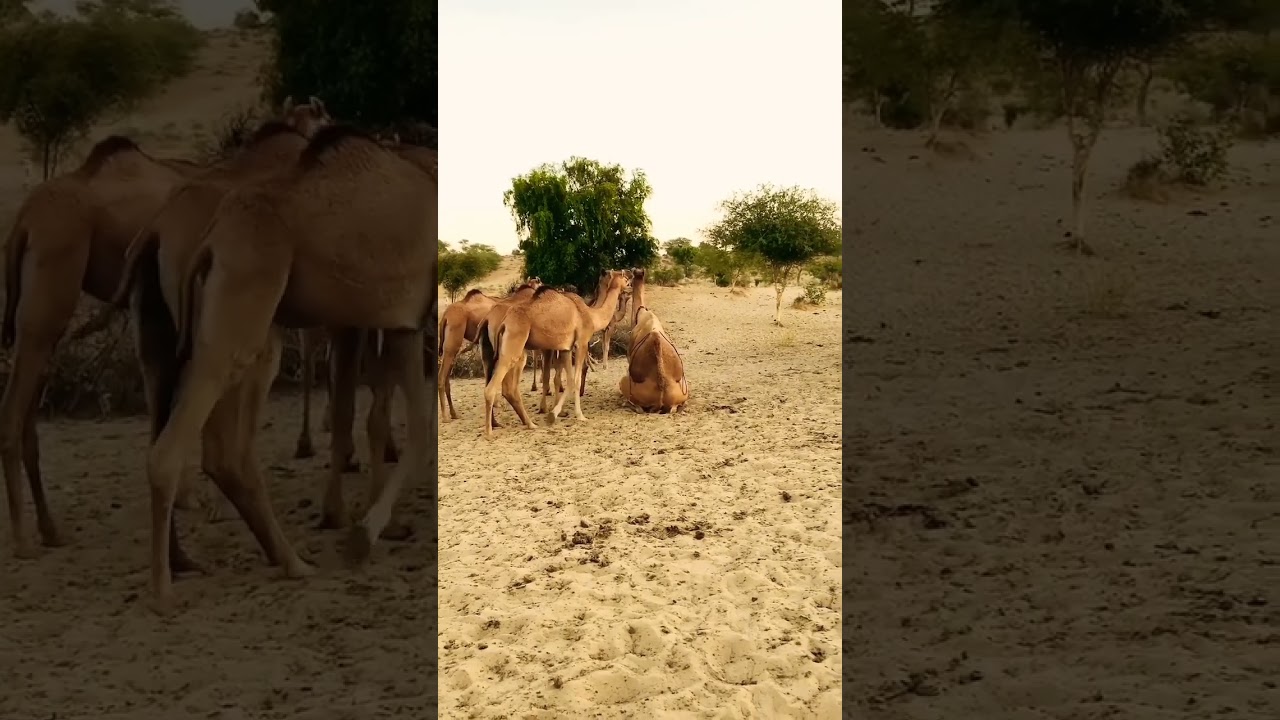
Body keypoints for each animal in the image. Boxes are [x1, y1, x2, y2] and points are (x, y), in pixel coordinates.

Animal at [117, 125, 435, 612]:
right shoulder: (405, 318)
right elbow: (410, 426)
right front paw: (363, 533)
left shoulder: (397, 323)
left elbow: (393, 421)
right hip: (245, 313)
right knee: (184, 447)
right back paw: (165, 589)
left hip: (190, 332)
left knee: (214, 447)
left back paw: (283, 561)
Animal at [479, 271, 630, 437]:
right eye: (625, 279)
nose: (630, 286)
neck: (591, 315)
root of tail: (502, 322)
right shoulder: (581, 343)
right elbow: (575, 380)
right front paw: (579, 415)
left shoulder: (566, 349)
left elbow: (568, 380)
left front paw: (554, 414)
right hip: (514, 347)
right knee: (493, 387)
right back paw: (489, 431)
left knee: (507, 387)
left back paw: (529, 424)